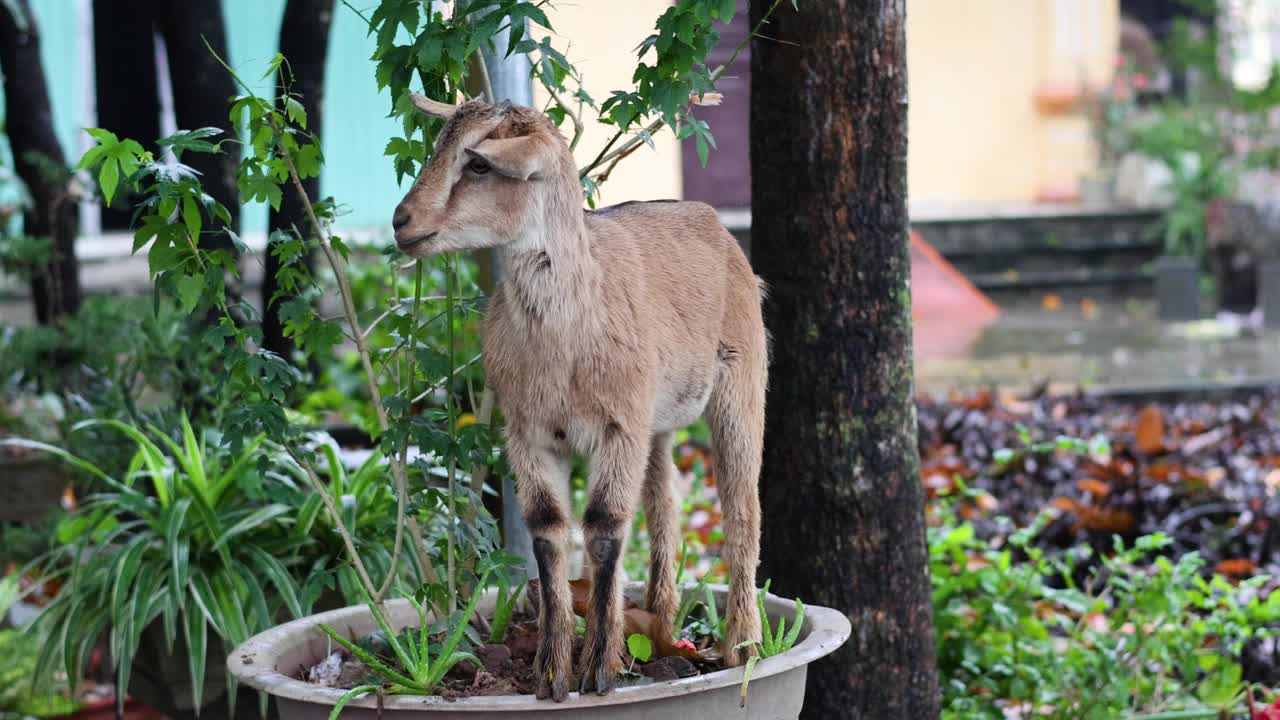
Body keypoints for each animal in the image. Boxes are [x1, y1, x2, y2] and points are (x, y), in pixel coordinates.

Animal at [394, 92, 762, 696]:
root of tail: (713, 222)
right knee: (664, 504)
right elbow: (548, 529)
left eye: (479, 163)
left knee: (739, 505)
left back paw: (741, 647)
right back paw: (662, 625)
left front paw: (597, 670)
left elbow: (605, 526)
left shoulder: (618, 426)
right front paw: (550, 672)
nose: (402, 222)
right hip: (656, 423)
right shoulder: (530, 432)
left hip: (741, 378)